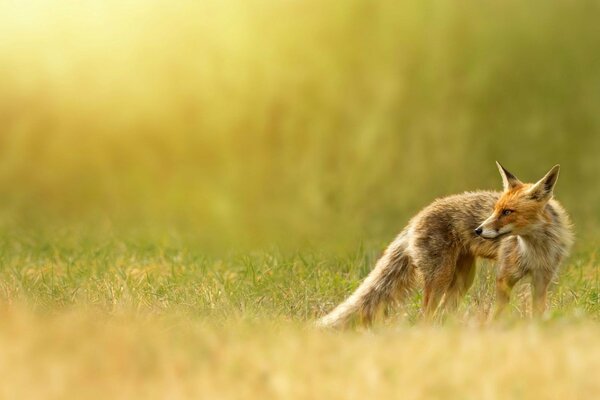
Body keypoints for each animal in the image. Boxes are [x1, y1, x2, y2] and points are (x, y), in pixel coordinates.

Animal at [316, 162, 576, 328]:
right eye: (495, 210)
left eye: (508, 212)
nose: (478, 230)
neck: (535, 249)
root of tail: (415, 218)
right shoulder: (504, 277)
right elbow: (498, 314)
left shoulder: (542, 280)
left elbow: (538, 314)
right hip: (440, 277)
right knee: (426, 316)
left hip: (461, 281)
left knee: (443, 313)